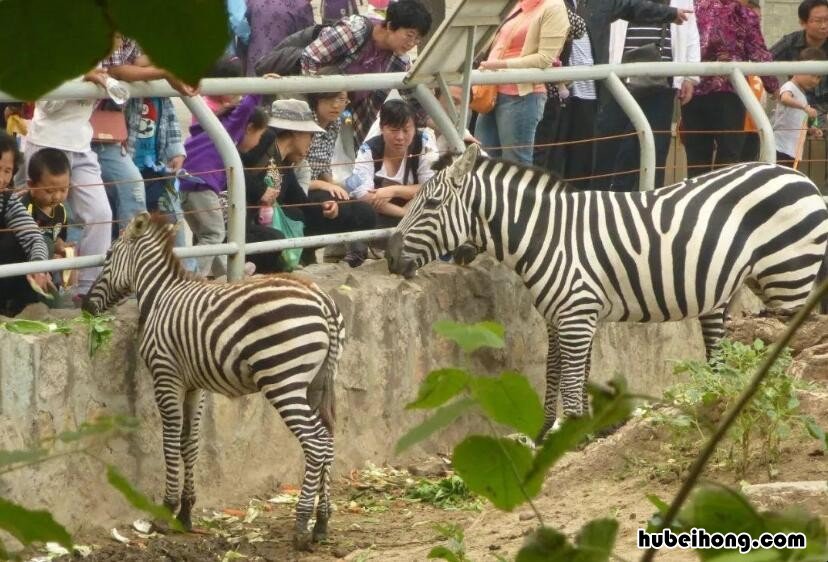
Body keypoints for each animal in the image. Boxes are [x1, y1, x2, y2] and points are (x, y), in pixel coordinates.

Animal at [82, 211, 344, 548]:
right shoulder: (195, 386)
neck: (159, 295)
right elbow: (189, 445)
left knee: (315, 441)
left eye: (108, 256)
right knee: (329, 438)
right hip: (318, 382)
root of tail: (322, 300)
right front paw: (185, 513)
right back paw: (322, 523)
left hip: (282, 380)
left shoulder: (166, 376)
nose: (85, 306)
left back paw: (301, 525)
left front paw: (165, 512)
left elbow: (169, 442)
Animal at [388, 145, 828, 442]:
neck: (548, 235)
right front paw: (552, 433)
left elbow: (570, 382)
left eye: (431, 203)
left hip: (790, 277)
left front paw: (572, 436)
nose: (388, 256)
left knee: (799, 346)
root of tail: (803, 178)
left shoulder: (576, 314)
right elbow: (558, 374)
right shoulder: (562, 317)